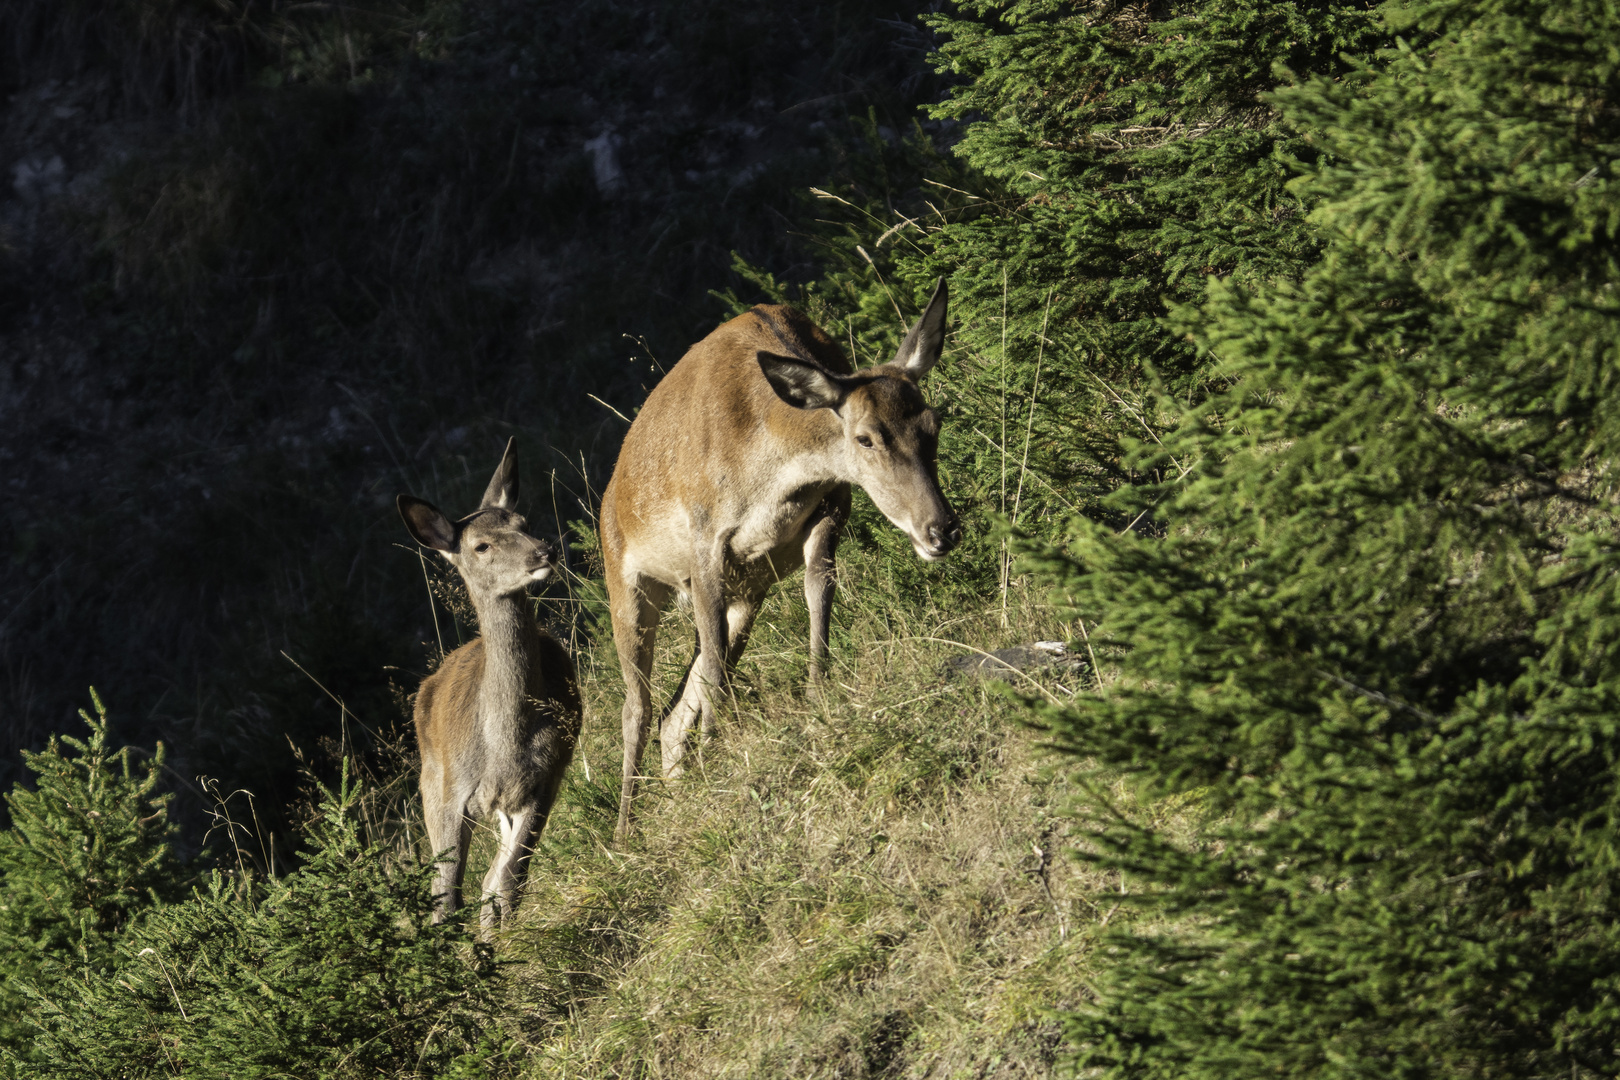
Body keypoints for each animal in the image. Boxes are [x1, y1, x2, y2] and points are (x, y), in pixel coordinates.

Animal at [398, 437, 583, 932]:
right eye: (481, 545)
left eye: (524, 523)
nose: (543, 551)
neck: (504, 742)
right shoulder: (452, 793)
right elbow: (446, 899)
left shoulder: (544, 778)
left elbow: (506, 882)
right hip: (429, 783)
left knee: (495, 879)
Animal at [599, 276, 952, 835]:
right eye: (865, 438)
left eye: (933, 422)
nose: (941, 530)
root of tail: (608, 497)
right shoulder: (705, 540)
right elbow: (714, 671)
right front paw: (720, 760)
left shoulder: (830, 509)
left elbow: (818, 601)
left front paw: (818, 696)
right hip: (626, 583)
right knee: (637, 707)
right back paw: (623, 832)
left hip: (749, 591)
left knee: (674, 709)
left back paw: (677, 790)